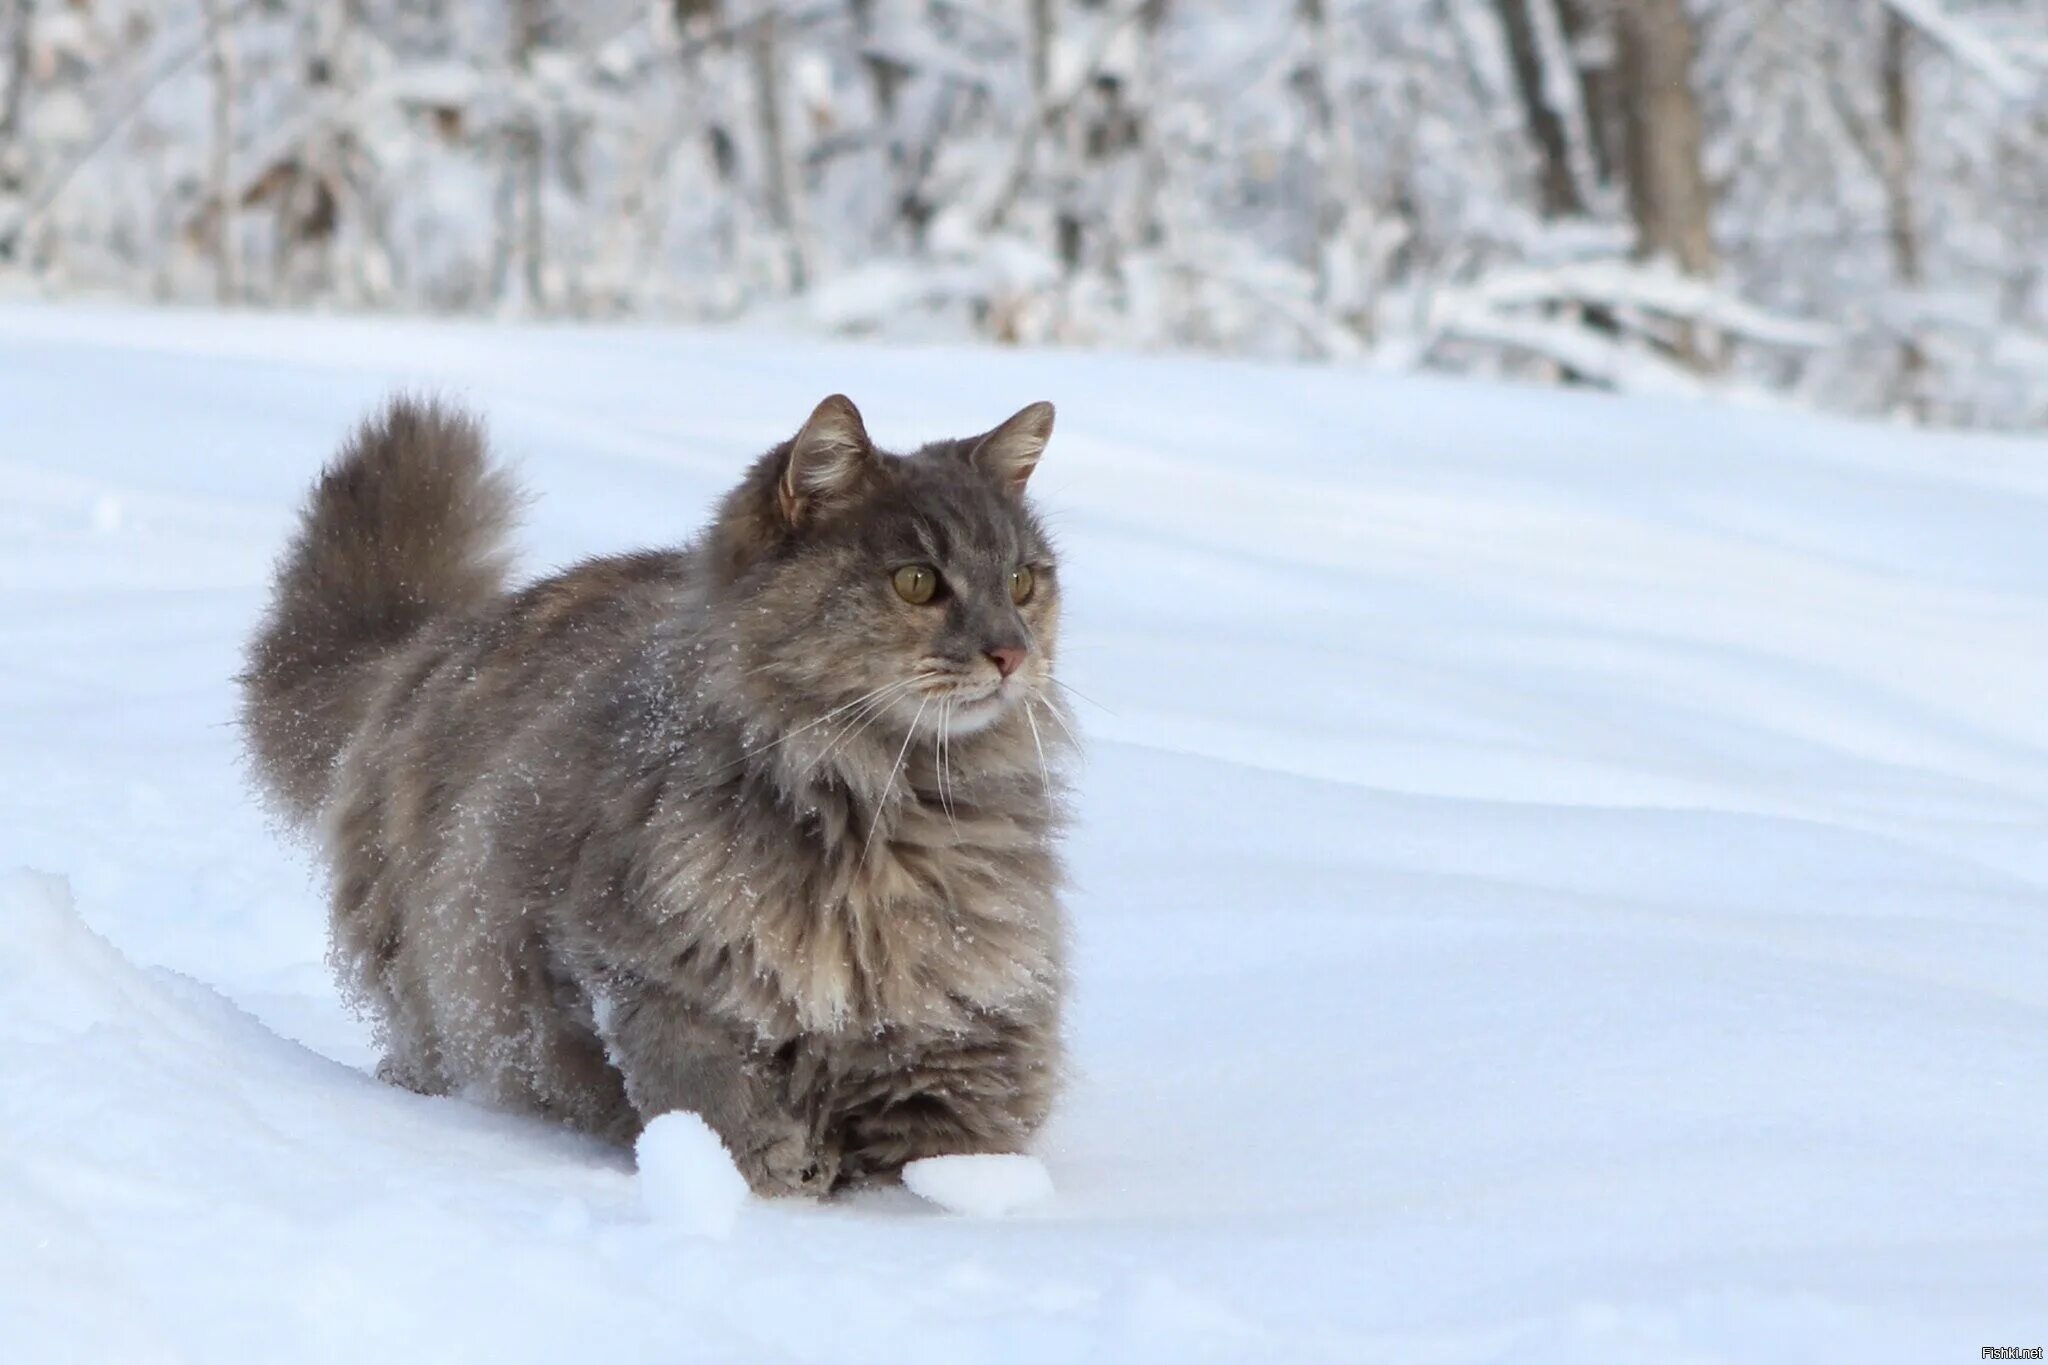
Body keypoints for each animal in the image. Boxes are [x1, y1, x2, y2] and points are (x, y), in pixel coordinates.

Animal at [239, 392, 1073, 1195]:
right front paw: (771, 1168)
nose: (1010, 651)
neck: (876, 805)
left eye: (1022, 581)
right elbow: (698, 1080)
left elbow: (955, 1133)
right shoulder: (622, 959)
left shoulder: (969, 1024)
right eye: (917, 581)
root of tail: (436, 639)